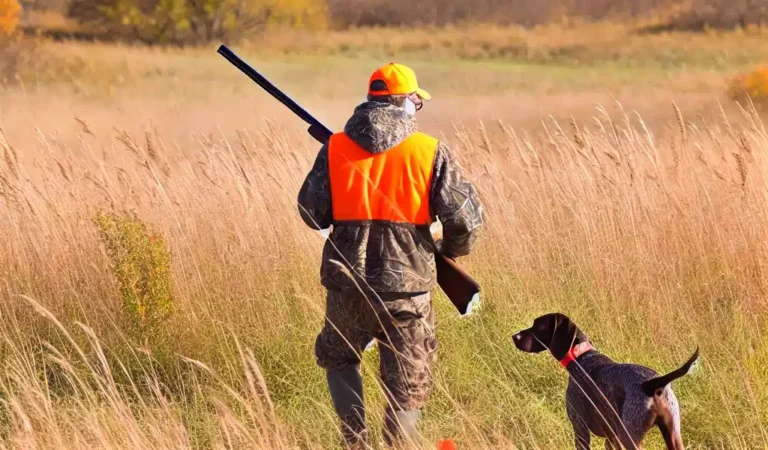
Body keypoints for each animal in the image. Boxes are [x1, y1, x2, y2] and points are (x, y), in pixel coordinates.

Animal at [512, 312, 700, 450]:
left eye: (539, 326)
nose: (515, 336)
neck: (580, 356)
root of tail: (653, 384)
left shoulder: (580, 428)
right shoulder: (611, 438)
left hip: (630, 436)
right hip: (672, 433)